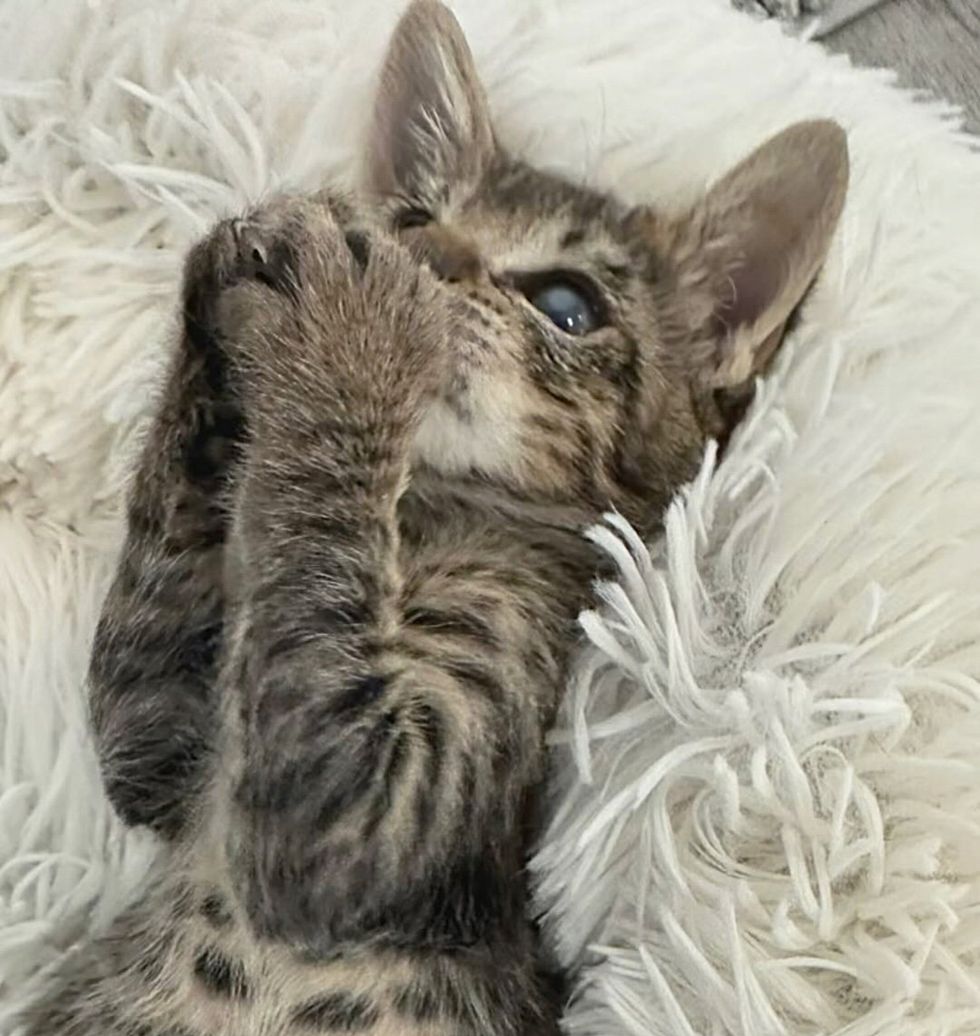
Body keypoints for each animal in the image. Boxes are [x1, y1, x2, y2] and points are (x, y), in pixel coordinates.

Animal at [24, 2, 849, 1036]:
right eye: (413, 218)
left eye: (568, 304)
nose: (426, 255)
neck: (415, 519)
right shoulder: (166, 742)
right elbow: (151, 634)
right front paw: (230, 270)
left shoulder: (368, 814)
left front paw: (351, 332)